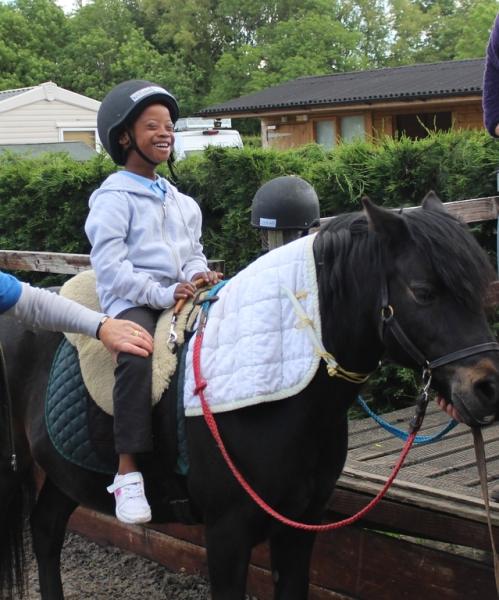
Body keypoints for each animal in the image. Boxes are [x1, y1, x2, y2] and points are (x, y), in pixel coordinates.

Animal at [1, 193, 499, 600]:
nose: (488, 387)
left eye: (479, 288)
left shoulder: (300, 525)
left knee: (45, 531)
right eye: (423, 292)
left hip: (65, 474)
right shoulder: (227, 534)